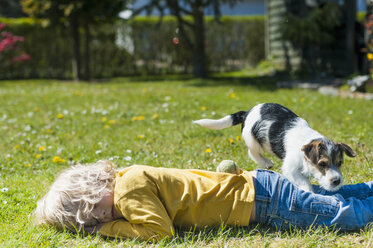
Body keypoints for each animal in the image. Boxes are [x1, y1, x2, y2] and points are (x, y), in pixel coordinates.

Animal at [193, 102, 356, 192]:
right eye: (322, 164)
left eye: (339, 163)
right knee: (252, 152)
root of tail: (247, 112)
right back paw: (266, 162)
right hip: (252, 139)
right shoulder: (291, 169)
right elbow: (304, 182)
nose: (336, 181)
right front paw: (309, 192)